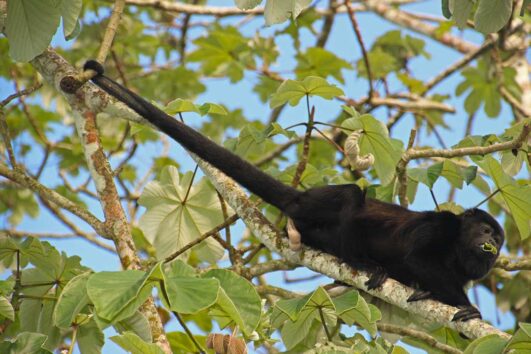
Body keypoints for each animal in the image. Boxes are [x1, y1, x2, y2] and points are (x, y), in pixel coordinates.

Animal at [82, 60, 502, 320]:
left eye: (498, 238)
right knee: (352, 195)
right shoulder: (441, 225)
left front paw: (430, 293)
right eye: (485, 230)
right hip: (316, 204)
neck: (458, 245)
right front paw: (467, 307)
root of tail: (299, 197)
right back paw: (365, 264)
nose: (492, 246)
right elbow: (418, 256)